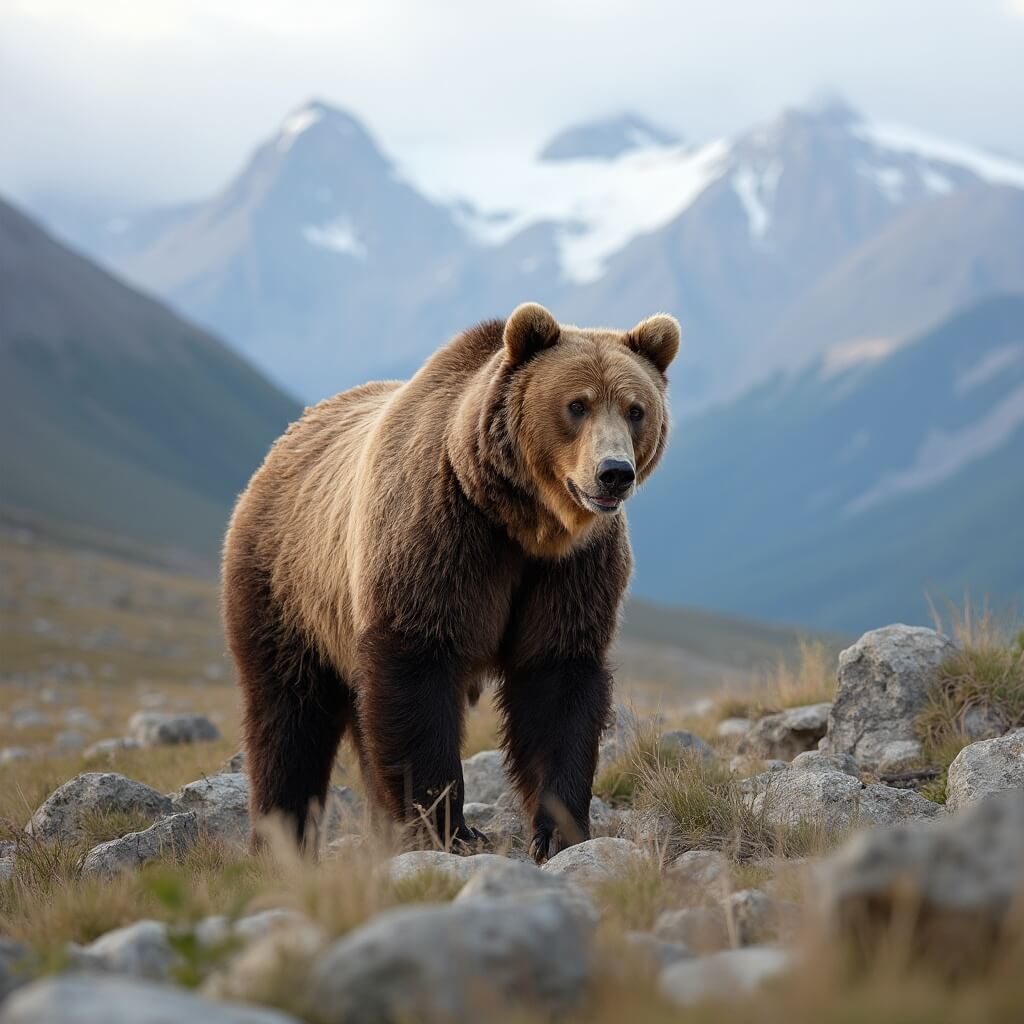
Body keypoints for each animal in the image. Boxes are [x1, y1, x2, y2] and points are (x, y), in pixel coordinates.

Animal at [222, 302, 680, 862]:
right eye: (577, 405)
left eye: (636, 409)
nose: (614, 472)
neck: (522, 522)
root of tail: (280, 447)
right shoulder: (440, 538)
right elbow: (417, 670)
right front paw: (450, 829)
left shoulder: (570, 570)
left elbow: (558, 679)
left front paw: (558, 831)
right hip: (288, 588)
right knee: (288, 716)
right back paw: (281, 840)